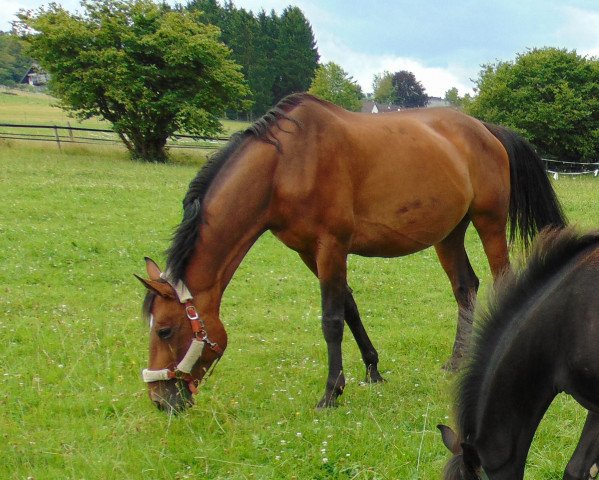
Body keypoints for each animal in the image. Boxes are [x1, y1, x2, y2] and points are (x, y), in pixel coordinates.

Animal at [137, 94, 568, 412]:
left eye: (165, 330)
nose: (160, 400)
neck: (285, 166)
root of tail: (486, 129)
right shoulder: (309, 252)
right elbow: (349, 307)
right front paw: (372, 370)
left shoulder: (331, 246)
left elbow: (331, 319)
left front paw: (331, 392)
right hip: (449, 234)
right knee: (466, 288)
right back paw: (457, 361)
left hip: (489, 222)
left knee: (502, 280)